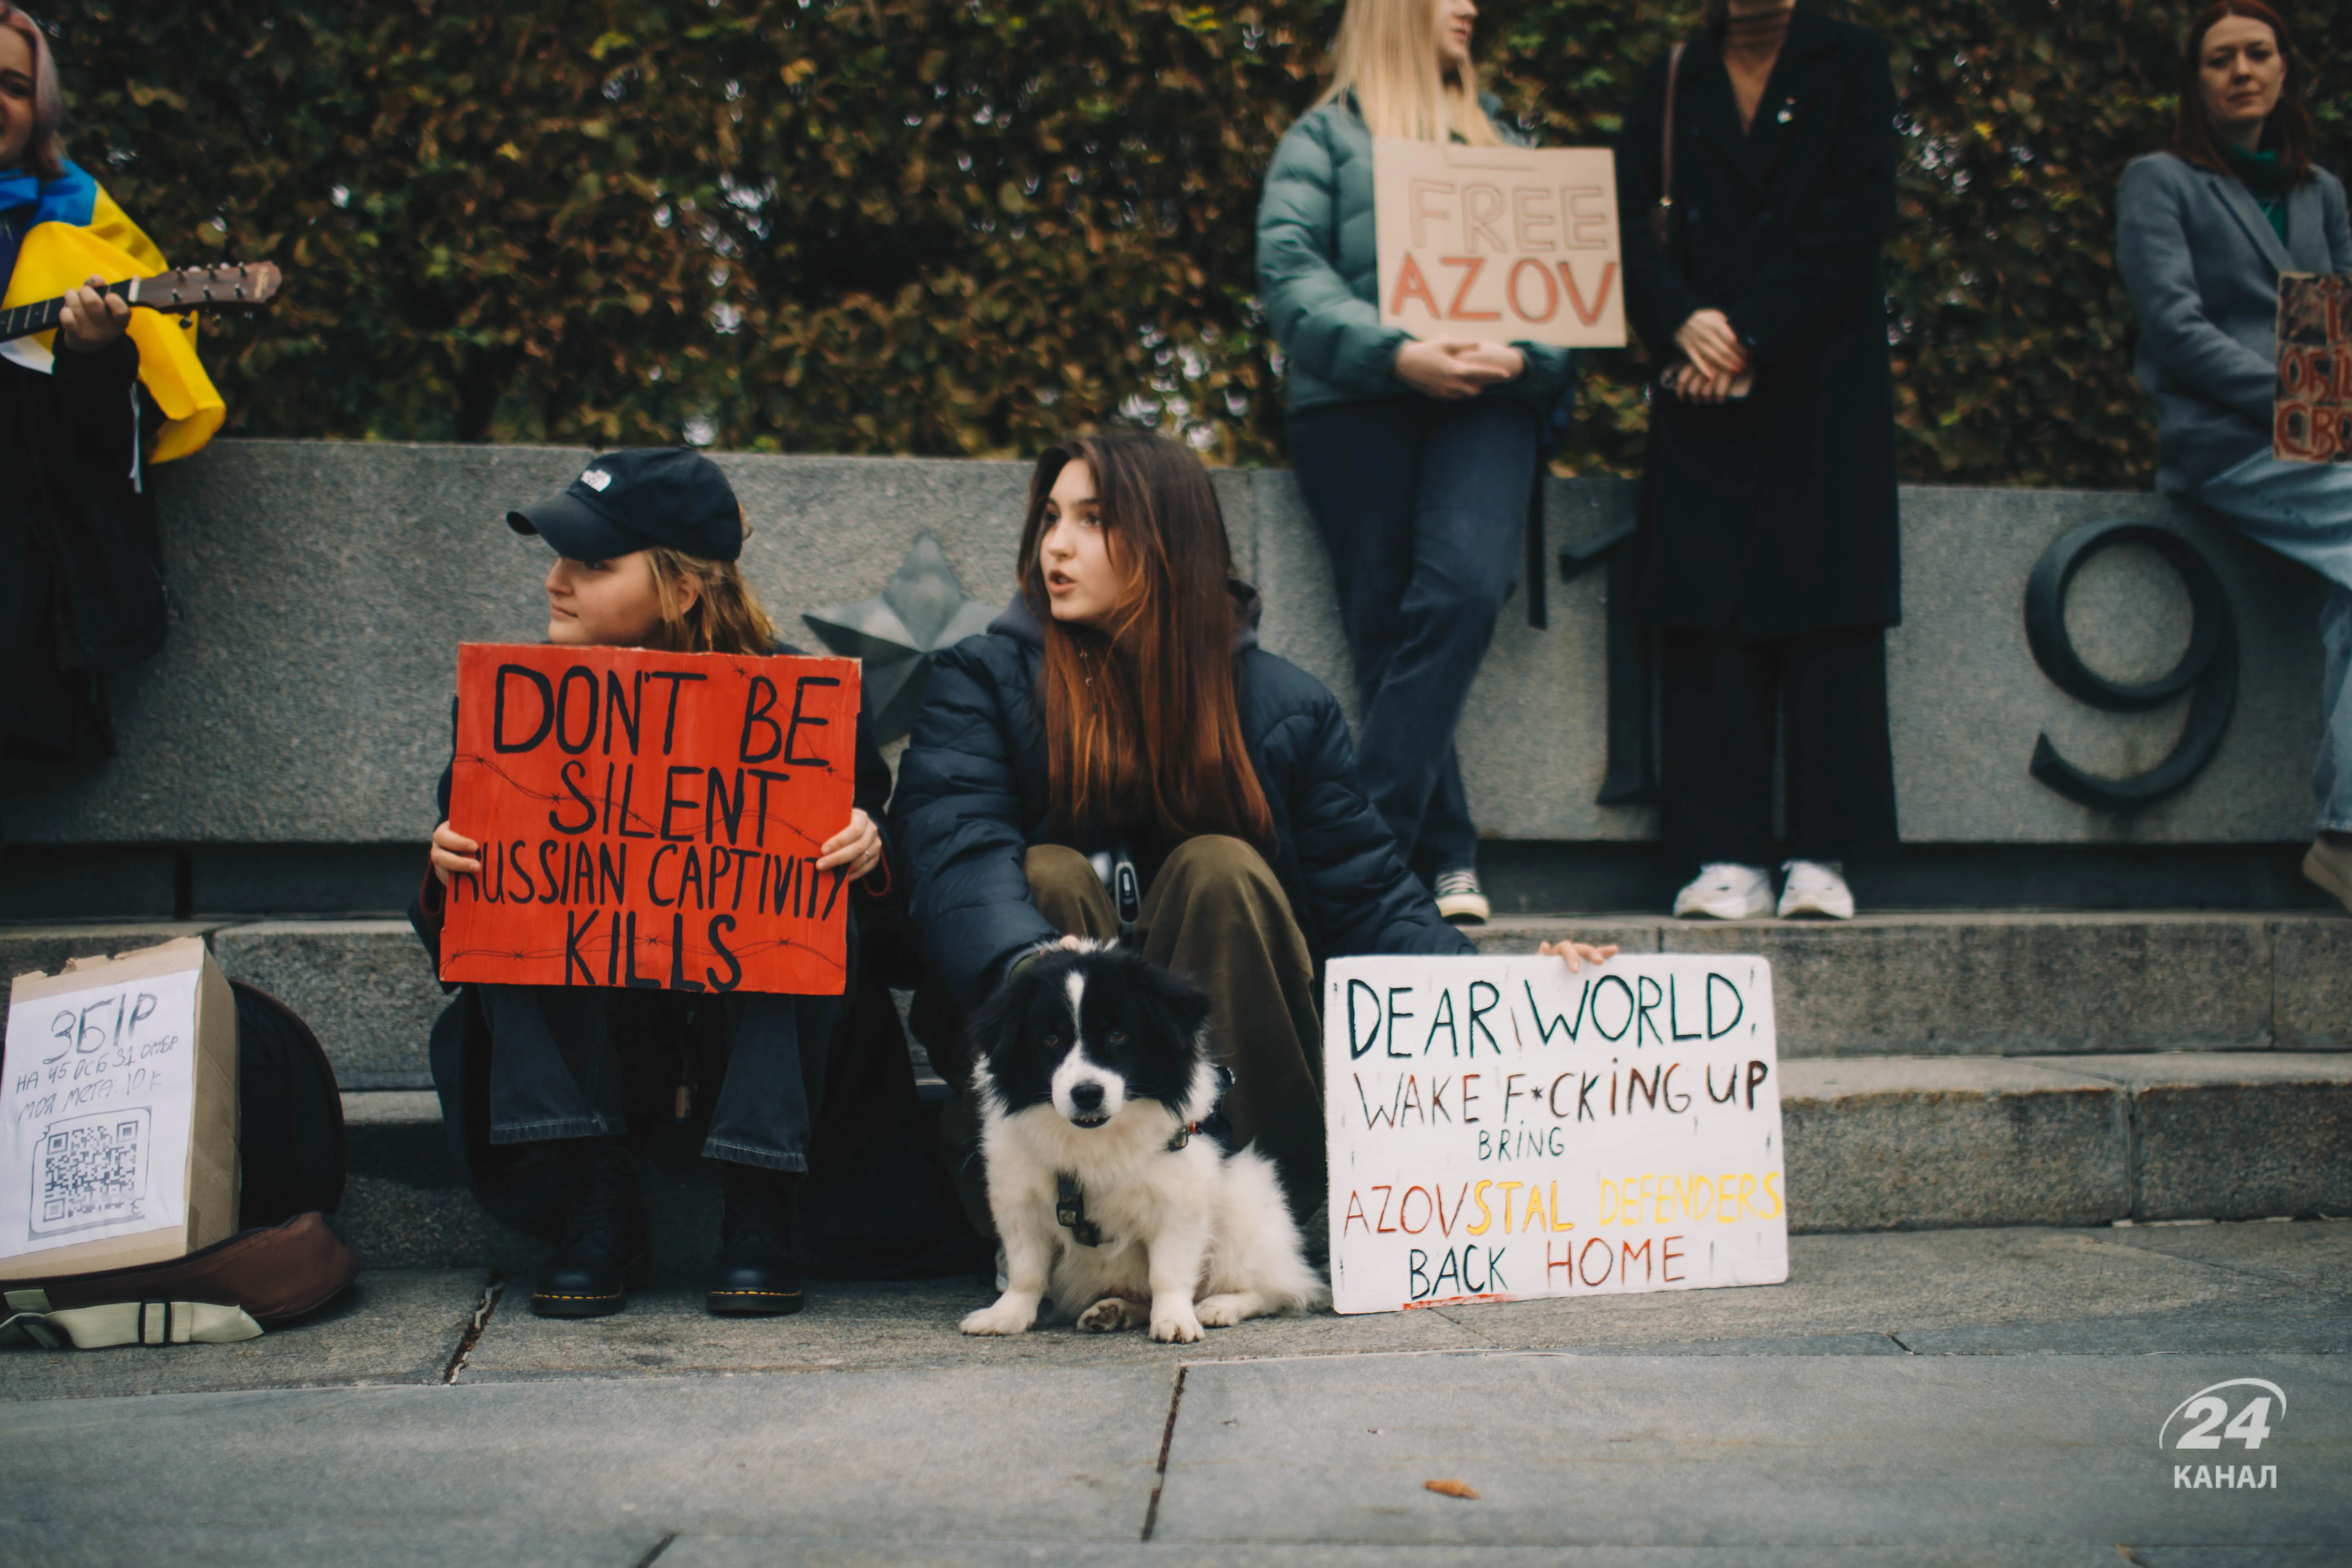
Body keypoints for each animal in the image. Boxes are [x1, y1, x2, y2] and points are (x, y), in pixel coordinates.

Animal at [955, 940, 1326, 1344]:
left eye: (1118, 1035)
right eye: (1051, 1040)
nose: (1087, 1093)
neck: (1095, 1137)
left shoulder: (1180, 1199)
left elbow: (1169, 1272)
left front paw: (1175, 1319)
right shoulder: (1019, 1200)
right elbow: (1026, 1272)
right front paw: (1007, 1315)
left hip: (1244, 1211)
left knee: (1274, 1289)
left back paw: (1220, 1306)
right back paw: (1113, 1311)